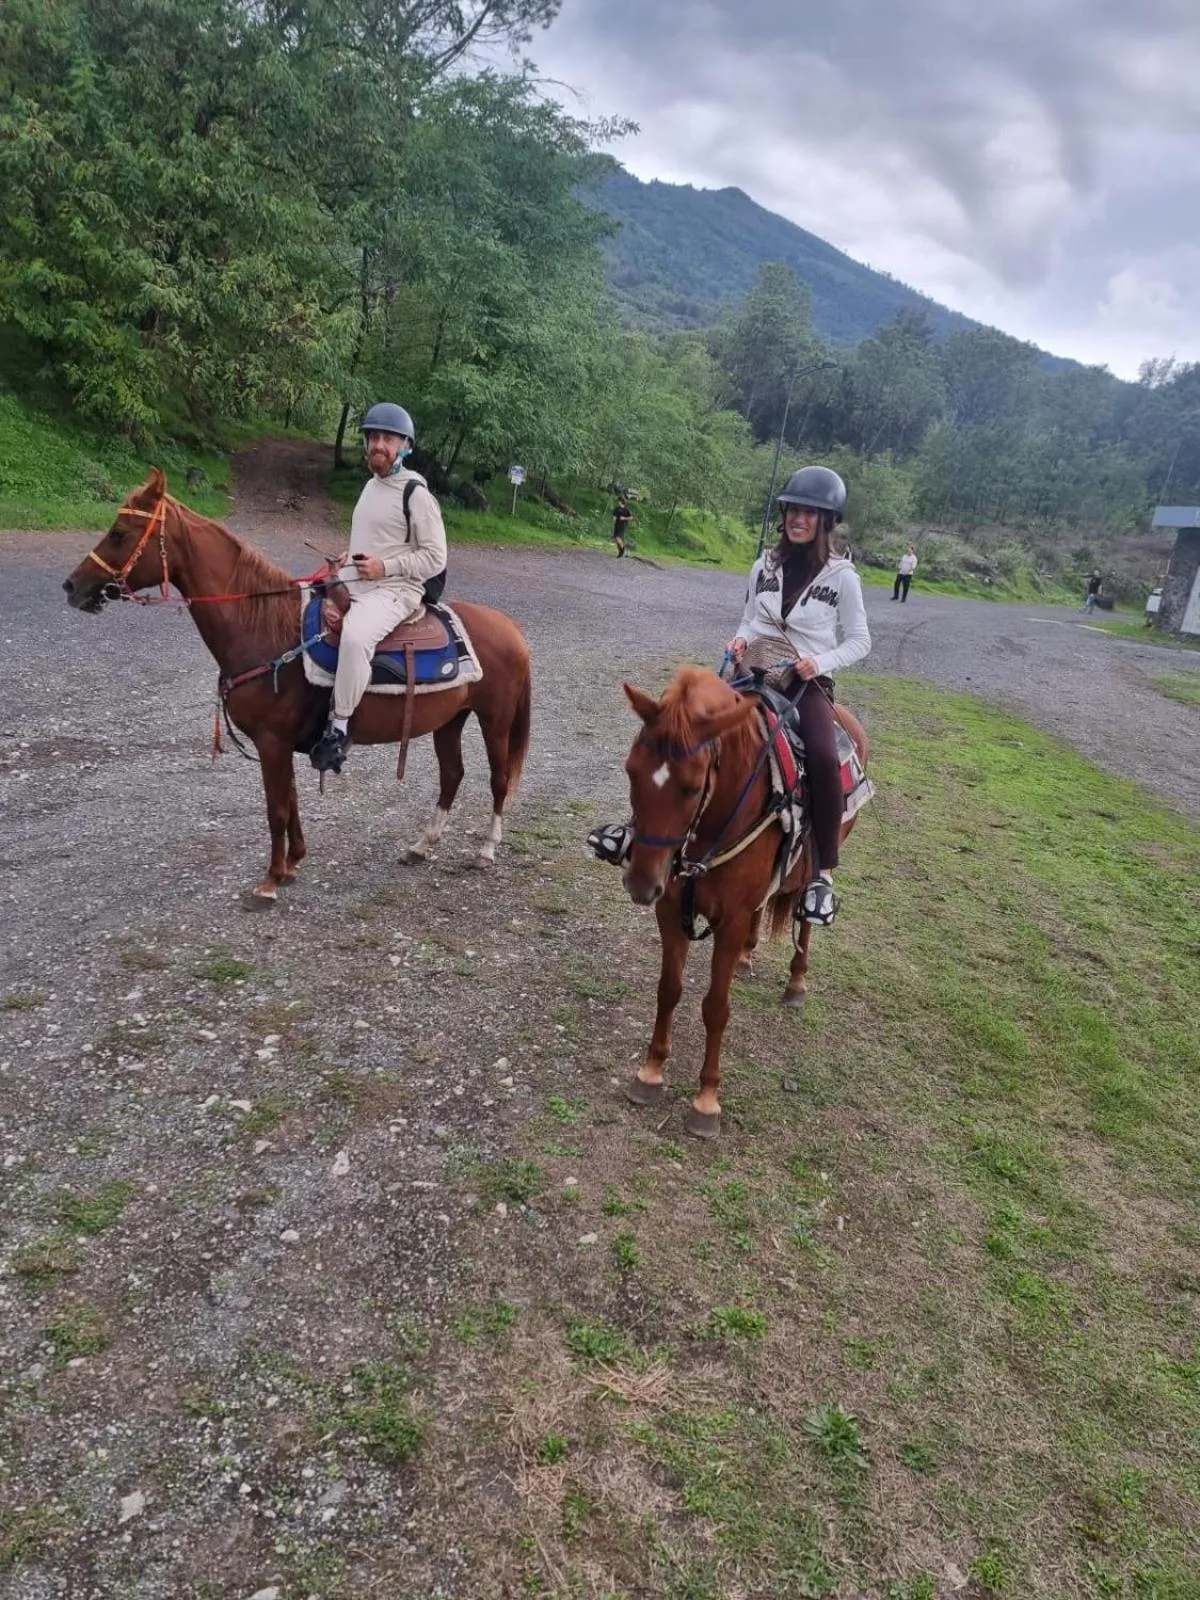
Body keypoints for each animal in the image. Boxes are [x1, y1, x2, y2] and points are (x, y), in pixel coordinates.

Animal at [62, 469, 532, 903]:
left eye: (120, 533)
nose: (72, 586)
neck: (266, 632)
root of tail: (509, 628)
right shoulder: (281, 742)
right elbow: (290, 803)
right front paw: (292, 863)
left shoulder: (272, 741)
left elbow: (276, 808)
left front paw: (270, 881)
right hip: (450, 720)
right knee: (452, 774)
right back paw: (420, 845)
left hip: (493, 720)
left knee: (498, 779)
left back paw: (486, 850)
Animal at [619, 666, 868, 1139]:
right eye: (630, 772)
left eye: (691, 787)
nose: (642, 883)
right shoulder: (671, 909)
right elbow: (669, 989)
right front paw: (651, 1072)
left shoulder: (729, 920)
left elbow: (716, 1008)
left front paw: (706, 1101)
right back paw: (747, 959)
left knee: (805, 919)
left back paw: (796, 982)